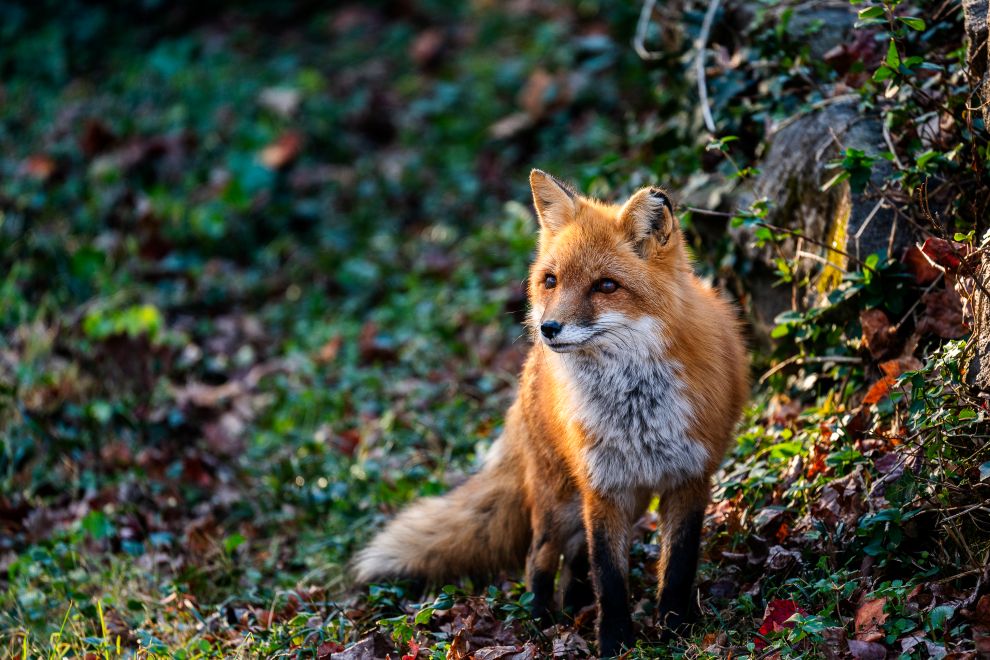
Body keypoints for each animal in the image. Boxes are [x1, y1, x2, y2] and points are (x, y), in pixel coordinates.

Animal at [353, 170, 749, 656]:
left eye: (606, 285)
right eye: (551, 281)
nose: (548, 329)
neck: (637, 411)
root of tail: (526, 372)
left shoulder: (689, 479)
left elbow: (677, 565)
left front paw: (677, 628)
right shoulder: (603, 488)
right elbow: (610, 578)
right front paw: (614, 642)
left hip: (620, 499)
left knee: (575, 558)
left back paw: (573, 605)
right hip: (559, 499)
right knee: (539, 556)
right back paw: (540, 621)